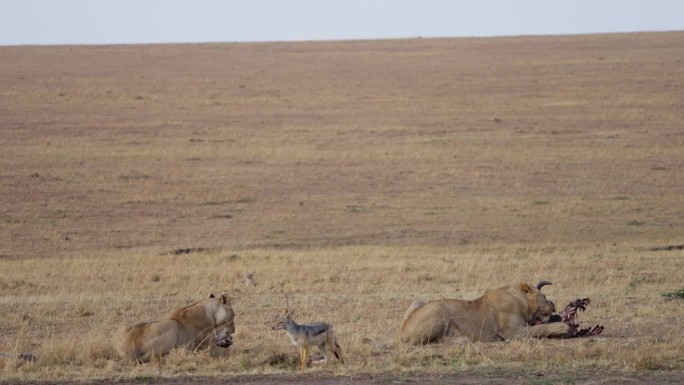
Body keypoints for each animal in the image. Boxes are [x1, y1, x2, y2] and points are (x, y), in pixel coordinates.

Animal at [398, 280, 568, 342]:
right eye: (544, 296)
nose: (554, 305)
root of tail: (402, 331)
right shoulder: (512, 332)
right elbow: (541, 327)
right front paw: (564, 327)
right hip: (439, 308)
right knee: (430, 341)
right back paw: (462, 339)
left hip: (420, 301)